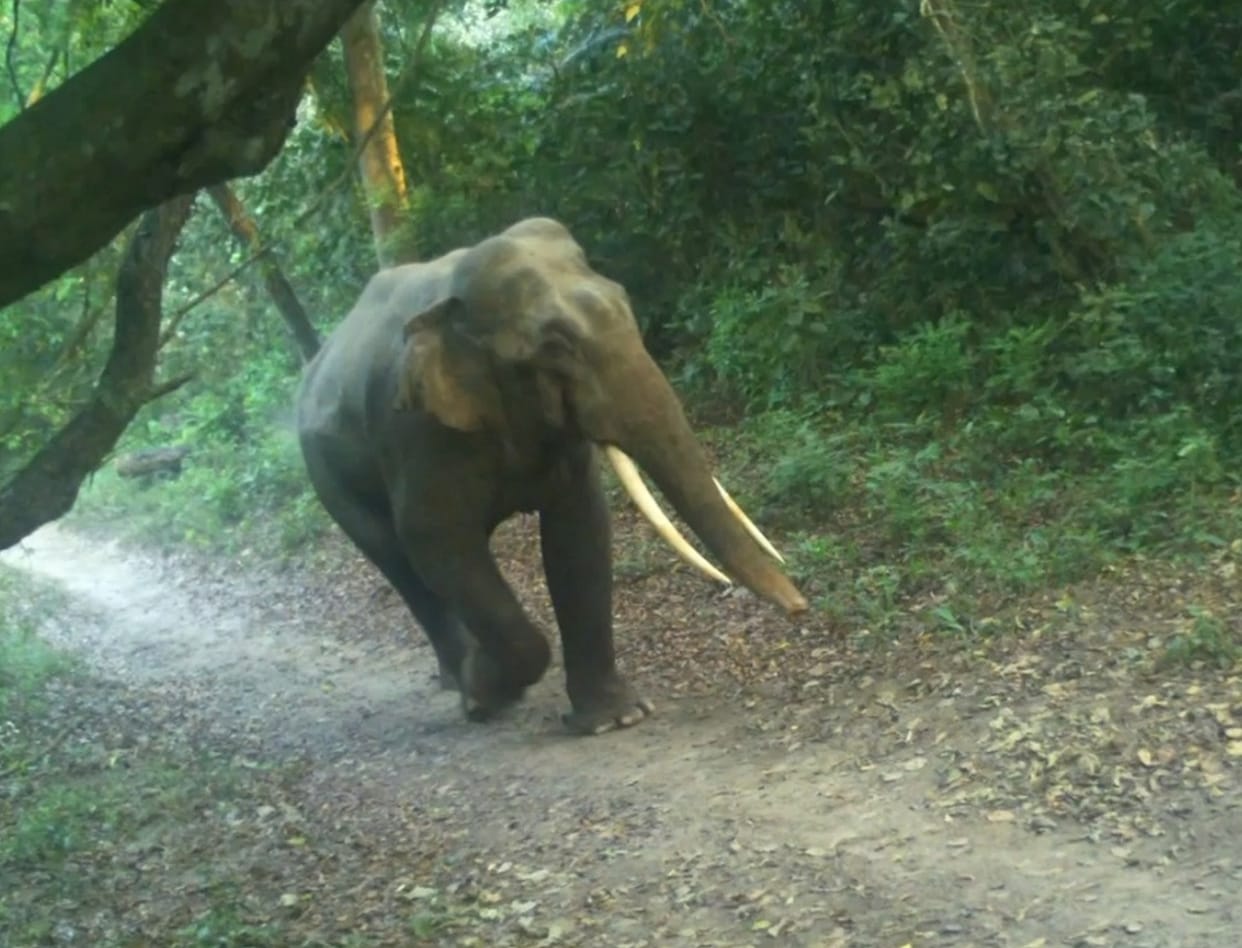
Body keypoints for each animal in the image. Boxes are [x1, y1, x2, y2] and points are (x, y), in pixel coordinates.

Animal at [296, 217, 807, 735]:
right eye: (555, 348)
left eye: (626, 305)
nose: (801, 608)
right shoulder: (417, 432)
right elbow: (436, 541)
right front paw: (486, 688)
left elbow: (580, 527)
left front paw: (614, 719)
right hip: (327, 476)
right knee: (400, 563)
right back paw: (463, 684)